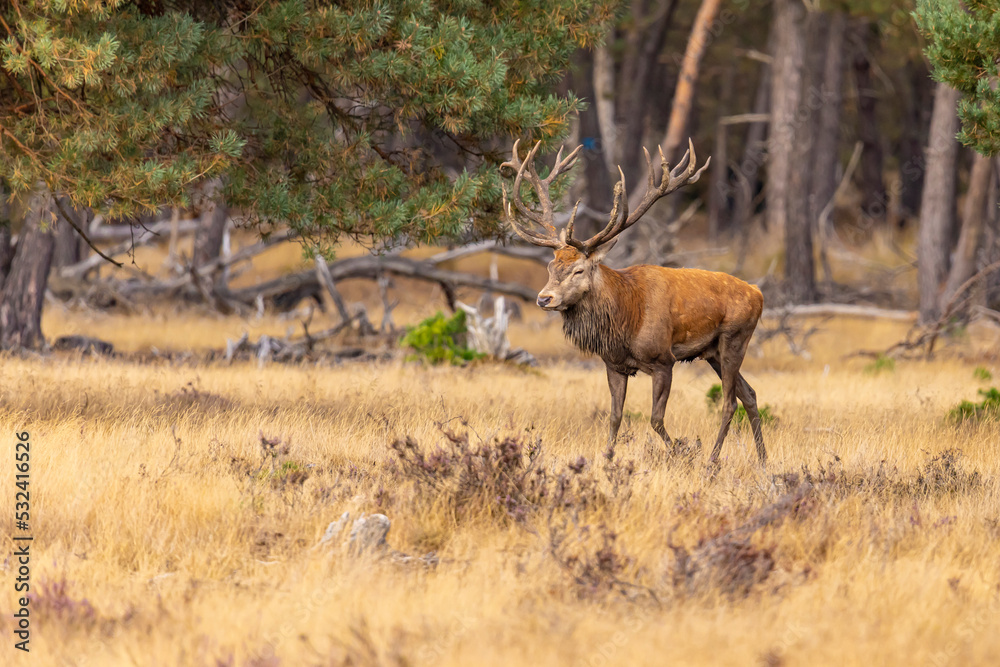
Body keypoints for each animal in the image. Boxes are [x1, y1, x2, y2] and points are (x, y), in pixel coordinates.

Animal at [500, 139, 766, 465]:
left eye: (579, 269)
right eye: (551, 266)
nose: (543, 298)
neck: (625, 322)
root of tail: (758, 293)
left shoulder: (663, 360)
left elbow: (655, 419)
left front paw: (679, 453)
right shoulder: (614, 364)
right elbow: (615, 416)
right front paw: (607, 459)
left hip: (734, 338)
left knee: (729, 403)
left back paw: (712, 462)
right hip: (713, 352)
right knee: (750, 394)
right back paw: (763, 461)